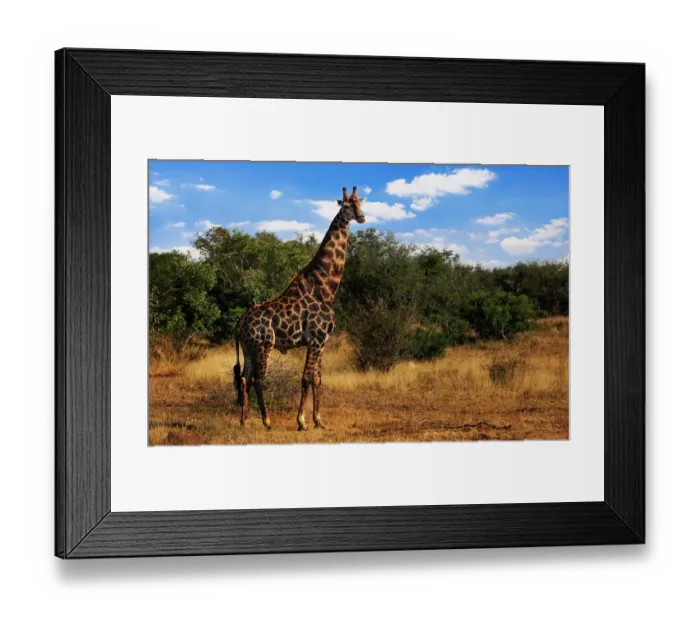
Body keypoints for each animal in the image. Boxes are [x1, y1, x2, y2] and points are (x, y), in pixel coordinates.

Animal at [233, 186, 366, 431]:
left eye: (360, 203)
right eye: (345, 205)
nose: (361, 217)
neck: (325, 288)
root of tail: (240, 322)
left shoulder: (322, 342)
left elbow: (317, 379)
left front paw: (319, 421)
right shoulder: (315, 340)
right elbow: (305, 378)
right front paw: (302, 421)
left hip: (248, 349)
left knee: (245, 379)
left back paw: (244, 421)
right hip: (264, 346)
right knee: (259, 379)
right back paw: (267, 421)